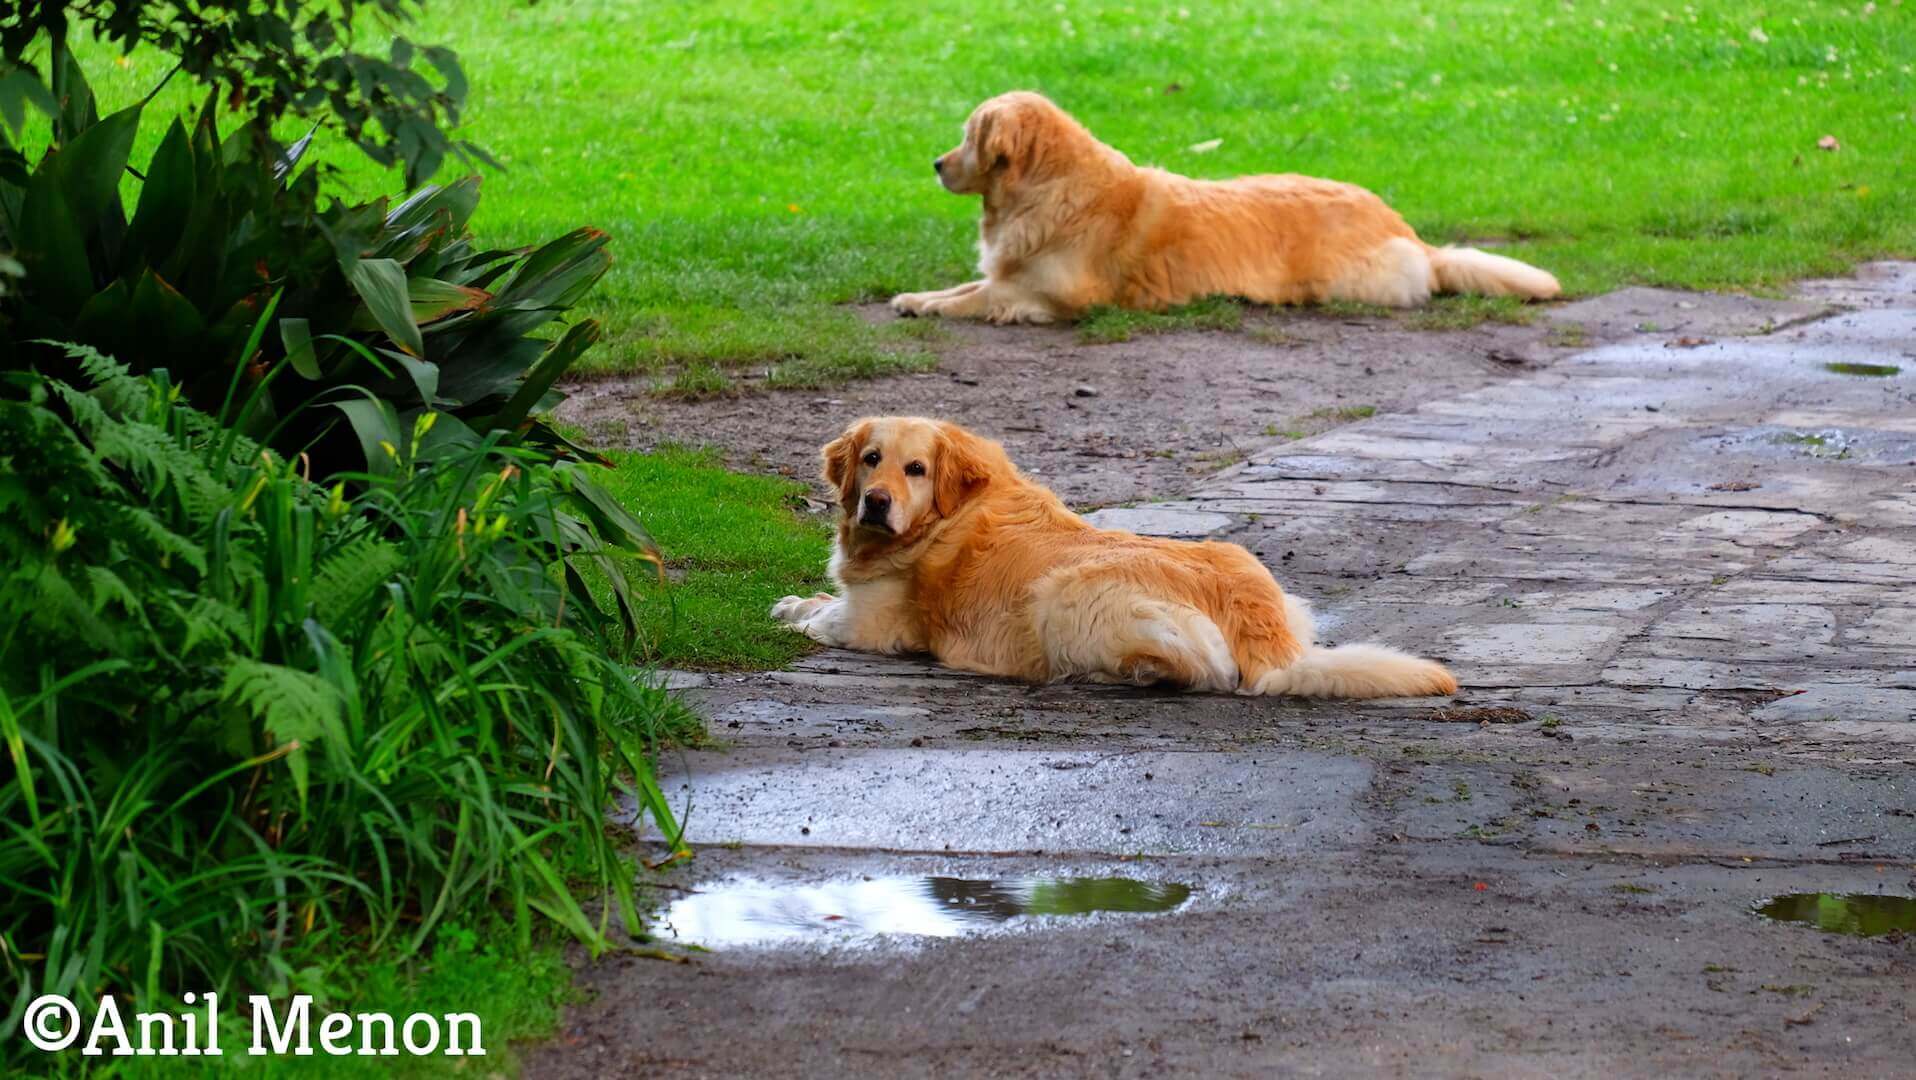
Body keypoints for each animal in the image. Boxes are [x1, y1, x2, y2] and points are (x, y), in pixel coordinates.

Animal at [770, 413, 1456, 700]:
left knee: (1204, 671)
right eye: (870, 459)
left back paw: (1123, 673)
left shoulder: (875, 623)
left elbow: (822, 616)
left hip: (1060, 595)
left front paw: (791, 611)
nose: (877, 502)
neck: (948, 512)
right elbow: (821, 596)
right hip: (1276, 587)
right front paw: (797, 597)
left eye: (916, 468)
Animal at [889, 93, 1563, 323]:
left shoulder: (1053, 294)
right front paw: (917, 297)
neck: (1047, 188)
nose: (936, 164)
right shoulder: (1016, 270)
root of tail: (1408, 230)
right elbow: (968, 285)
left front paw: (932, 306)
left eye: (967, 137)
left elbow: (982, 296)